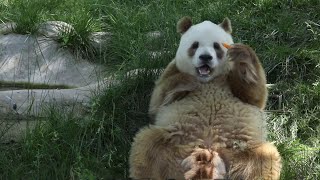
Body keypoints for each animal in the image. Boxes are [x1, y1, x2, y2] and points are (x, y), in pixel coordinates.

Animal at [129, 16, 282, 179]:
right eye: (195, 45)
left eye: (216, 46)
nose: (205, 57)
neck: (208, 80)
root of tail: (207, 154)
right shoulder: (171, 70)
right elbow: (157, 102)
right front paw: (188, 81)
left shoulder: (231, 80)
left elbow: (255, 96)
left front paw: (241, 56)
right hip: (173, 142)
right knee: (147, 147)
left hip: (240, 149)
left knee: (262, 161)